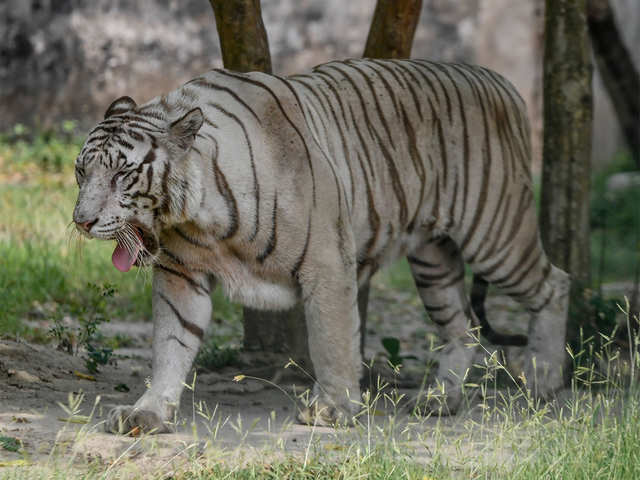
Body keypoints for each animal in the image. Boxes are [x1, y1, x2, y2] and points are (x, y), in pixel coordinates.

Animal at [71, 58, 568, 434]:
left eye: (122, 174)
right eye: (81, 171)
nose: (81, 221)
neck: (198, 217)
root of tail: (501, 80)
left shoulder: (326, 262)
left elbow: (332, 340)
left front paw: (334, 409)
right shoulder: (180, 274)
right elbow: (171, 344)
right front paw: (148, 412)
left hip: (496, 235)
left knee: (555, 283)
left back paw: (544, 381)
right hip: (433, 259)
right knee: (462, 326)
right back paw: (441, 399)